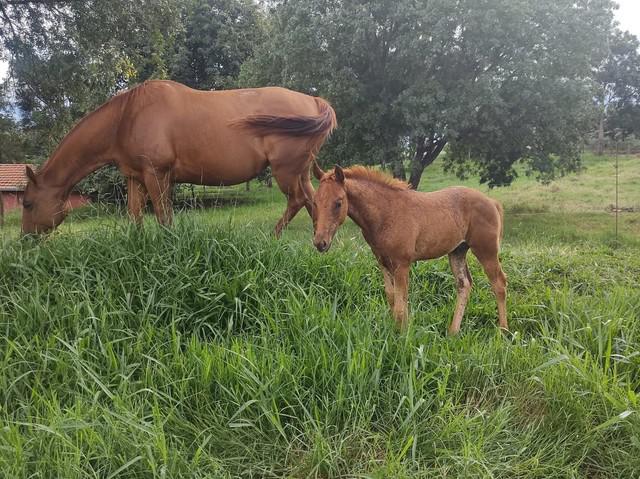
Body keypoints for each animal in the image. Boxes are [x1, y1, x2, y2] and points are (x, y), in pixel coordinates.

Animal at [22, 81, 338, 237]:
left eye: (27, 203)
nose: (26, 240)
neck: (127, 117)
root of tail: (313, 101)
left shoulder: (157, 175)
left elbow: (164, 218)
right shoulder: (135, 178)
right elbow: (135, 216)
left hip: (285, 171)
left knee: (297, 200)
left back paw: (273, 235)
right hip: (300, 170)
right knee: (312, 199)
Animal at [308, 167, 504, 336]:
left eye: (338, 202)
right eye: (315, 202)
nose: (320, 242)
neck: (385, 213)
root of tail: (493, 202)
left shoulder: (402, 263)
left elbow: (401, 303)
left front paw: (401, 336)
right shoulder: (382, 261)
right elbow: (392, 297)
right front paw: (398, 329)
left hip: (486, 250)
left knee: (499, 283)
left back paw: (503, 332)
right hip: (457, 251)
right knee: (464, 284)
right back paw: (453, 332)